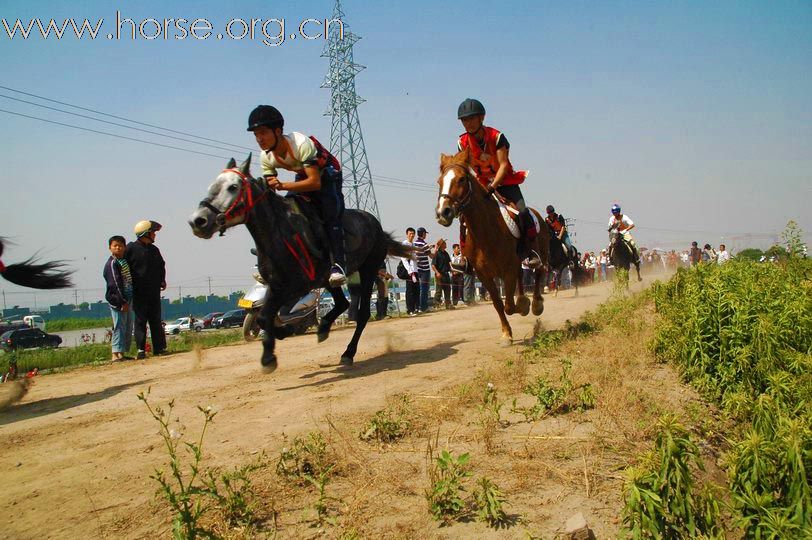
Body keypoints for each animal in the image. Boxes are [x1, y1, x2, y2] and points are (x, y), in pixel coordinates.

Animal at [190, 154, 412, 370]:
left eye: (233, 187)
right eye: (212, 185)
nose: (198, 221)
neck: (280, 234)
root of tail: (377, 226)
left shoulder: (297, 286)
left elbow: (266, 316)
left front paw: (270, 355)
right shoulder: (276, 285)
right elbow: (263, 317)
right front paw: (283, 333)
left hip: (369, 270)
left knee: (363, 313)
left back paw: (348, 353)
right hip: (327, 279)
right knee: (343, 302)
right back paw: (323, 328)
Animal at [432, 149, 552, 342]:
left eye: (461, 179)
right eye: (439, 181)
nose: (443, 212)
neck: (486, 231)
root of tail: (538, 215)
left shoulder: (508, 268)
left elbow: (509, 305)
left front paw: (524, 307)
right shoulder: (483, 274)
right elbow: (498, 303)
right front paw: (507, 332)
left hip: (541, 252)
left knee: (539, 272)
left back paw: (535, 304)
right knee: (522, 277)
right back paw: (524, 300)